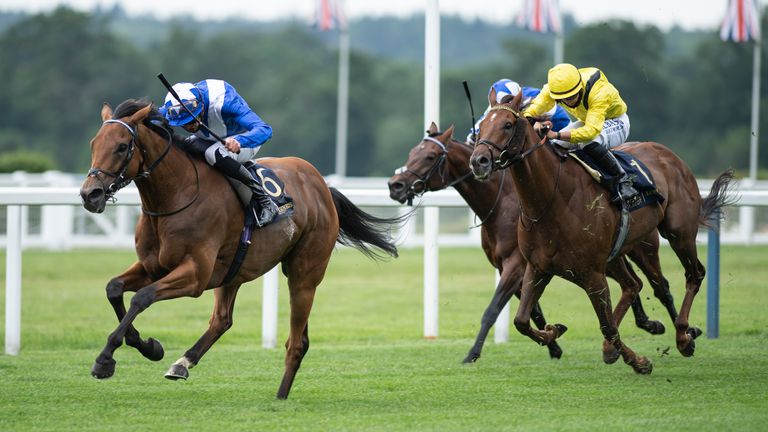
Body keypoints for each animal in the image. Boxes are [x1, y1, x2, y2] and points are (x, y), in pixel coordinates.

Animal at [80, 99, 400, 400]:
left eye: (122, 147)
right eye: (94, 143)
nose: (89, 194)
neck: (177, 195)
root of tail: (321, 184)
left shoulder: (195, 275)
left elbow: (142, 298)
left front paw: (106, 359)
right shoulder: (153, 266)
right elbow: (114, 288)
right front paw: (146, 346)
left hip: (304, 275)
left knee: (296, 341)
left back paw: (280, 395)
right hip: (233, 271)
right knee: (223, 320)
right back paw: (183, 363)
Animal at [390, 122, 684, 364]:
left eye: (429, 156)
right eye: (411, 152)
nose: (395, 185)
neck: (503, 204)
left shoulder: (516, 264)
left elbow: (493, 309)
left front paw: (472, 354)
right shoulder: (518, 265)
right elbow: (532, 310)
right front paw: (553, 342)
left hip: (643, 246)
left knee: (660, 285)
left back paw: (684, 332)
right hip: (612, 255)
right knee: (633, 284)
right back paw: (646, 326)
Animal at [468, 92, 732, 374]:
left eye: (507, 124)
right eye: (481, 127)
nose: (478, 161)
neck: (551, 201)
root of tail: (668, 155)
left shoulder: (591, 274)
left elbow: (607, 326)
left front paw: (638, 361)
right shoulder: (537, 268)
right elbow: (521, 320)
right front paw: (554, 331)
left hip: (676, 233)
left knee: (691, 275)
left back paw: (684, 336)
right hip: (619, 252)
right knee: (634, 285)